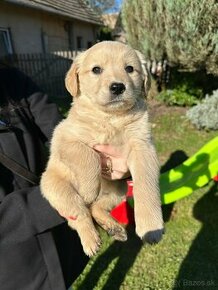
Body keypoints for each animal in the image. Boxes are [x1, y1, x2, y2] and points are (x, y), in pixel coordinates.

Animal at [40, 40, 164, 256]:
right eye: (96, 70)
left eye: (129, 69)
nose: (117, 87)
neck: (111, 118)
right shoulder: (62, 137)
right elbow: (89, 155)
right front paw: (89, 189)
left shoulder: (143, 146)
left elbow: (146, 185)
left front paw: (151, 227)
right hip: (56, 188)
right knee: (80, 213)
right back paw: (91, 240)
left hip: (119, 189)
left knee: (96, 208)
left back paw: (114, 228)